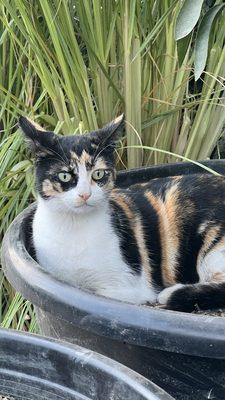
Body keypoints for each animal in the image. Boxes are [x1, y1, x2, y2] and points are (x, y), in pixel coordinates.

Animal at [19, 115, 225, 312]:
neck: (73, 227)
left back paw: (171, 294)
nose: (85, 194)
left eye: (98, 174)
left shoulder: (126, 288)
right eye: (65, 176)